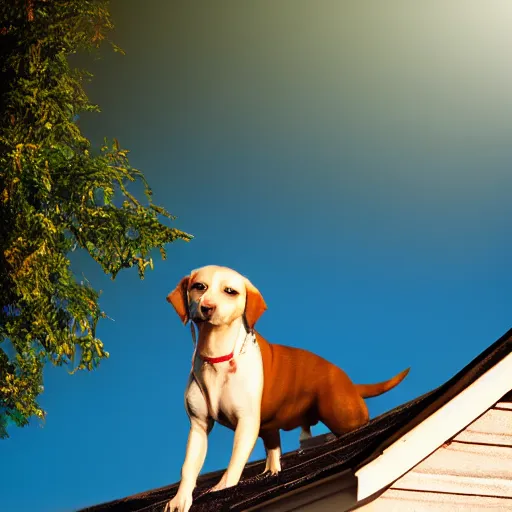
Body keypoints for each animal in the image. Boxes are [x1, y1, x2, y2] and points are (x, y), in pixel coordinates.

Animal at [164, 266, 408, 510]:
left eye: (230, 291)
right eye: (199, 286)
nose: (207, 307)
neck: (217, 354)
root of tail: (346, 381)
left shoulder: (246, 422)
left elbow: (235, 461)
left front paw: (222, 487)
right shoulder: (199, 426)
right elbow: (188, 467)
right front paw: (180, 500)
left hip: (344, 414)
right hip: (274, 428)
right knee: (274, 454)